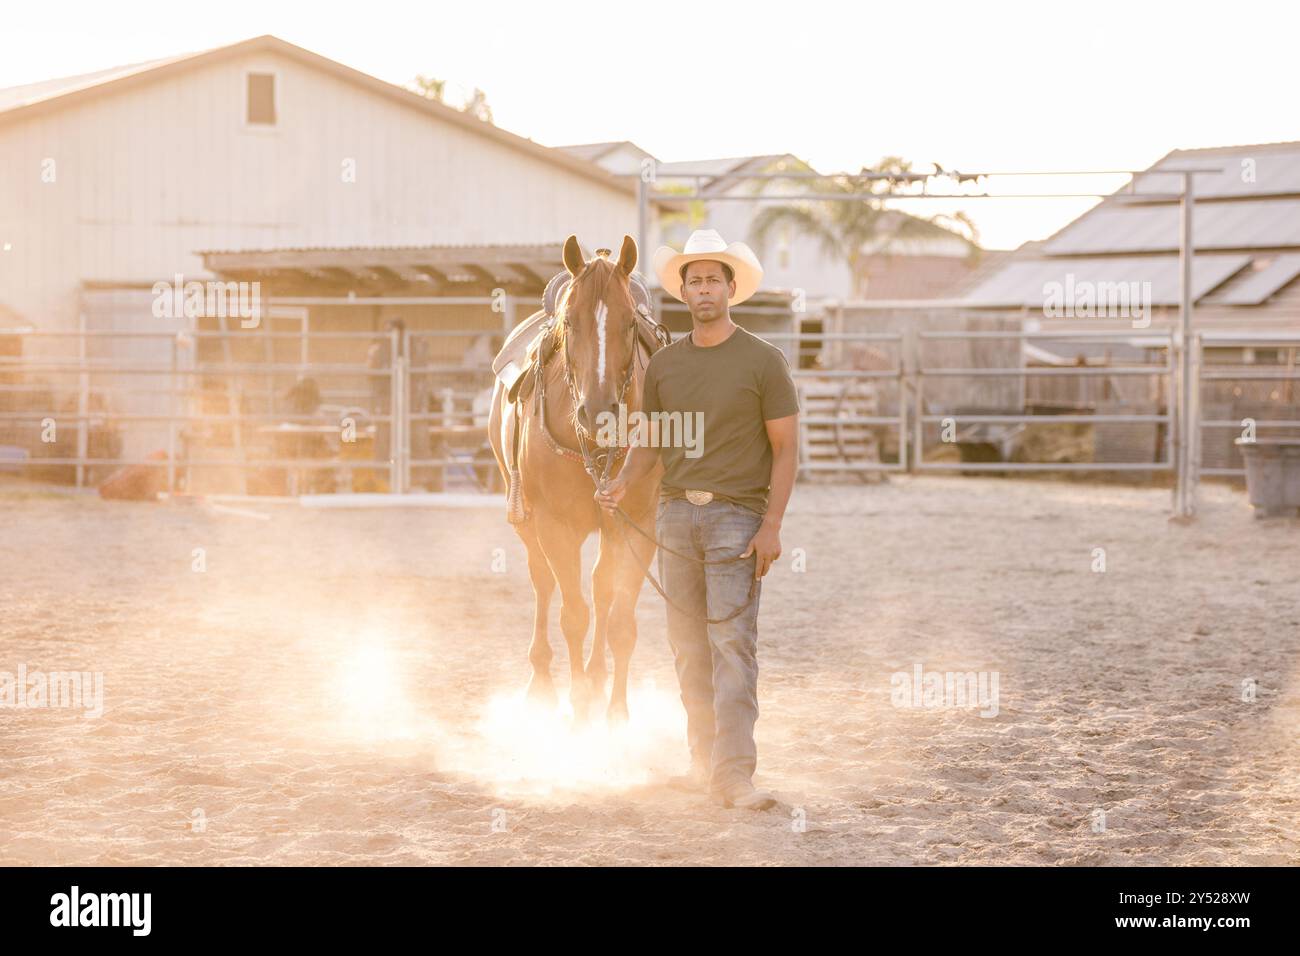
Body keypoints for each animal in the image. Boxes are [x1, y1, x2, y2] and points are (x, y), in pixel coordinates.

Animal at [488, 235, 665, 723]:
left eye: (629, 323)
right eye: (571, 322)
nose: (598, 412)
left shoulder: (637, 524)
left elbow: (620, 619)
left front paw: (616, 713)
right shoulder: (555, 526)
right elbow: (572, 614)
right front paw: (581, 707)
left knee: (601, 591)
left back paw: (597, 676)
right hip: (526, 518)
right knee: (544, 583)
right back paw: (542, 681)